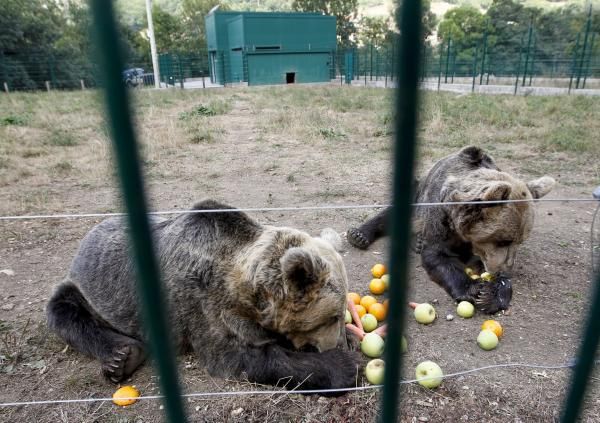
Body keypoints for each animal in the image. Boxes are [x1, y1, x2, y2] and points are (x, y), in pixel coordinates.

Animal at [48, 201, 356, 390]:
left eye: (339, 314)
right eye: (331, 317)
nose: (337, 343)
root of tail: (89, 233)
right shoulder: (203, 304)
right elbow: (243, 357)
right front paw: (342, 366)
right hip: (88, 288)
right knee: (63, 311)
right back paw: (120, 358)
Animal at [346, 147, 556, 314]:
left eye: (520, 241)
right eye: (503, 240)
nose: (505, 270)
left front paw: (492, 295)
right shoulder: (440, 220)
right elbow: (439, 257)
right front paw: (473, 289)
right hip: (416, 197)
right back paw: (359, 236)